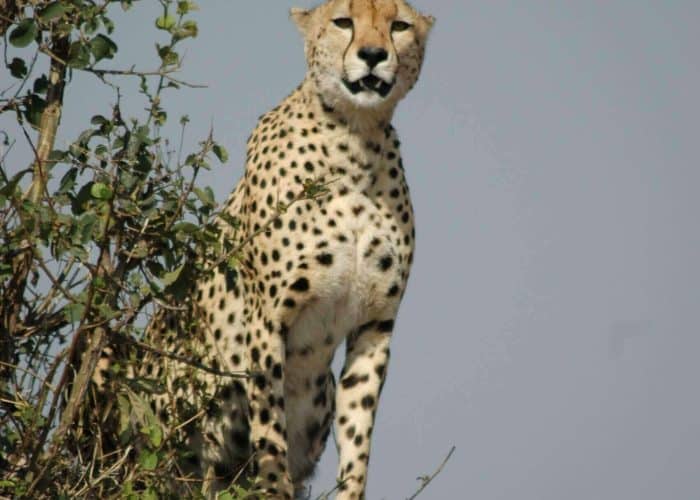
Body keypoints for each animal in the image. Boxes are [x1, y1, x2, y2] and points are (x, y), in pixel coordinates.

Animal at [108, 1, 433, 498]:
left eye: (399, 25)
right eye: (343, 22)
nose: (373, 55)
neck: (357, 142)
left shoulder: (375, 325)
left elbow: (358, 434)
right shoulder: (267, 318)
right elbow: (269, 428)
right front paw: (273, 484)